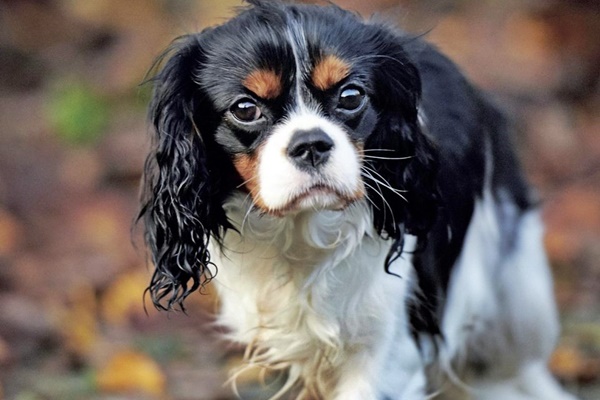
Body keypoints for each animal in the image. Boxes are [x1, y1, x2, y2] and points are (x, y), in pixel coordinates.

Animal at [138, 1, 580, 398]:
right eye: (245, 108)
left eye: (351, 96)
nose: (311, 144)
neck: (302, 231)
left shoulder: (387, 352)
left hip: (520, 306)